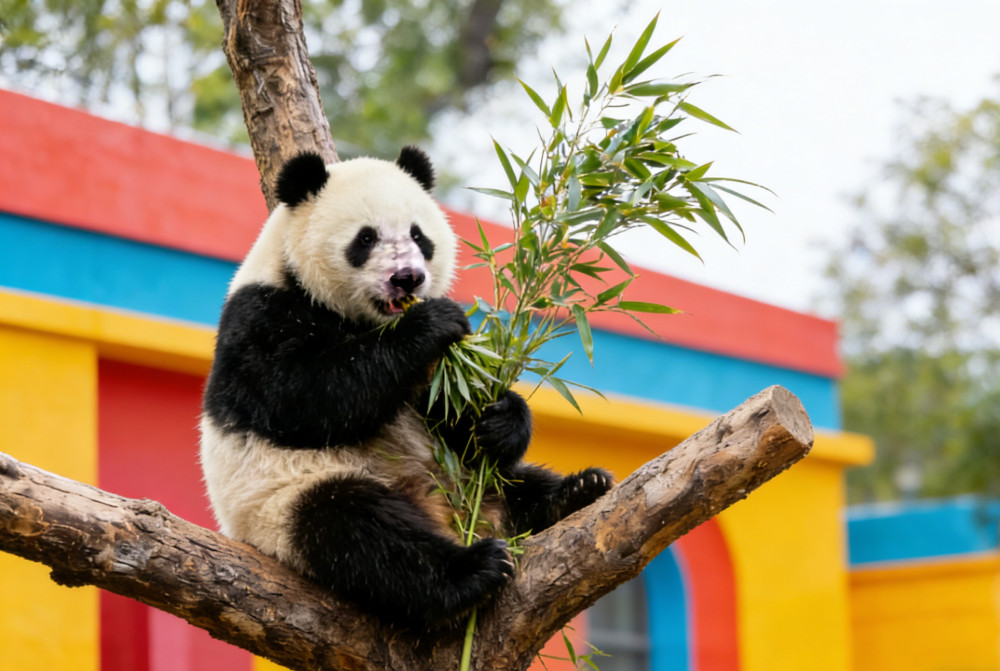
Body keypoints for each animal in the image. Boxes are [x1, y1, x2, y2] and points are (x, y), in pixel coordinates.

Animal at [199, 146, 614, 630]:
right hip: (282, 504)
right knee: (359, 530)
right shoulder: (261, 319)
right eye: (365, 239)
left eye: (419, 235)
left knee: (517, 482)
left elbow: (453, 409)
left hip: (472, 479)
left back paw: (577, 491)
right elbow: (303, 396)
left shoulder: (435, 377)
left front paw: (499, 420)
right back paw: (473, 568)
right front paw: (431, 323)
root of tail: (451, 514)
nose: (408, 278)